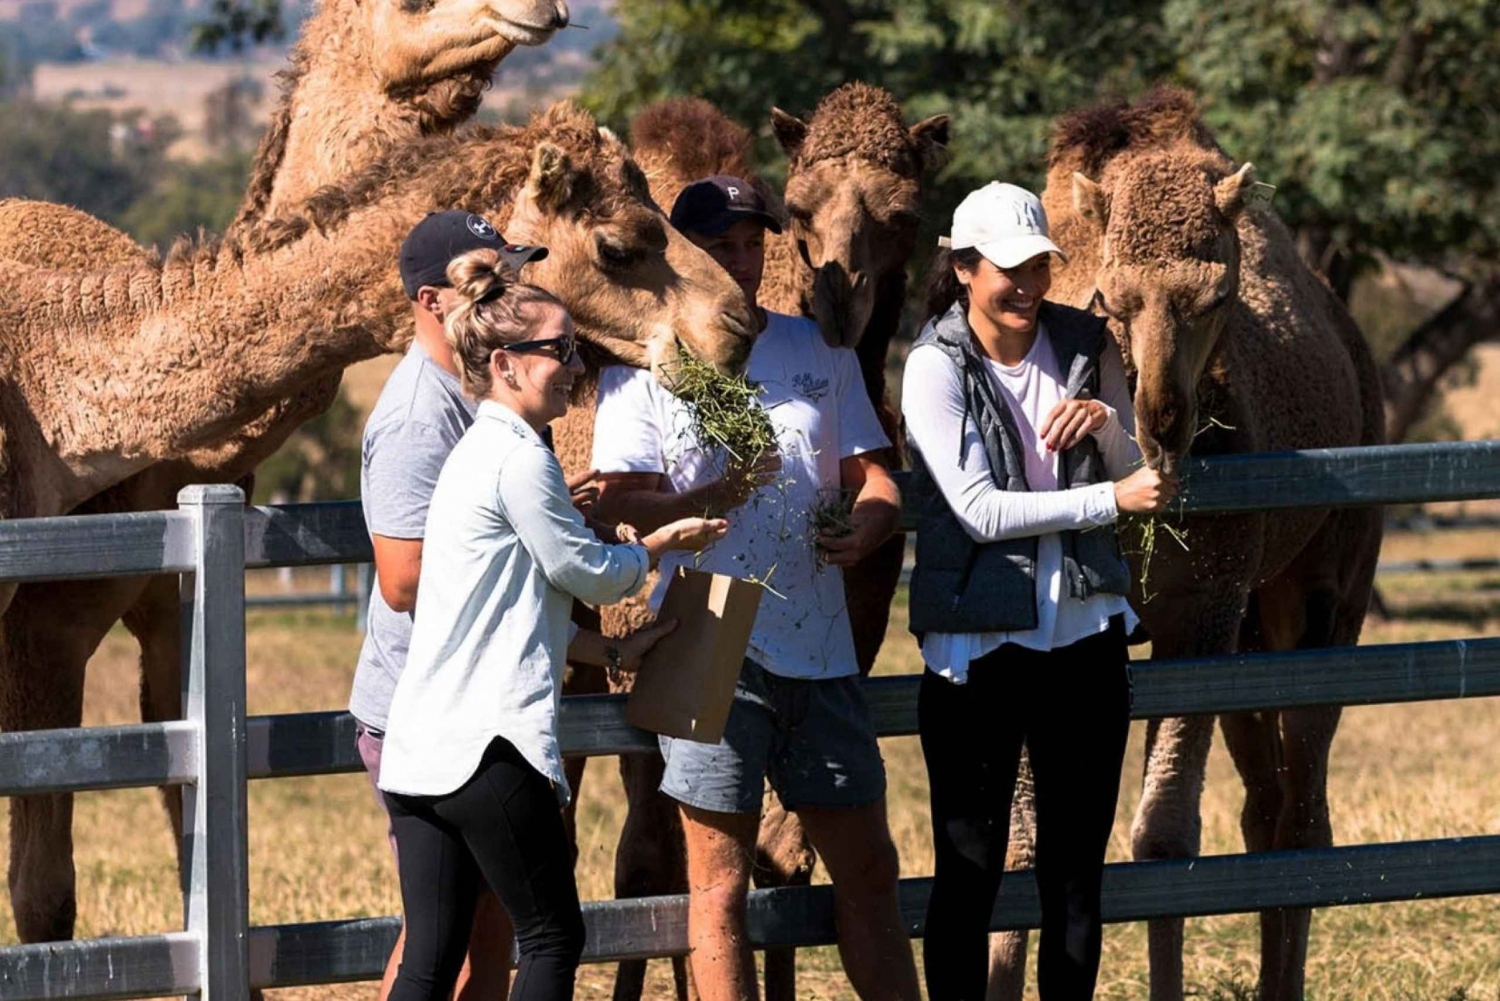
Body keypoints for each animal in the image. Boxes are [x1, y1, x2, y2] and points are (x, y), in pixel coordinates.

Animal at [0, 0, 569, 944]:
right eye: (409, 4)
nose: (547, 8)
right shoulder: (48, 621)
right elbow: (49, 871)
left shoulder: (165, 603)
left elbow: (186, 791)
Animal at [986, 88, 1384, 1001]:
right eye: (1110, 298)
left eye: (1217, 298)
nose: (1164, 421)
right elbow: (1027, 841)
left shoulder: (1200, 605)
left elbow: (1163, 837)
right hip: (1252, 626)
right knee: (1265, 805)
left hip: (1328, 589)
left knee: (1301, 808)